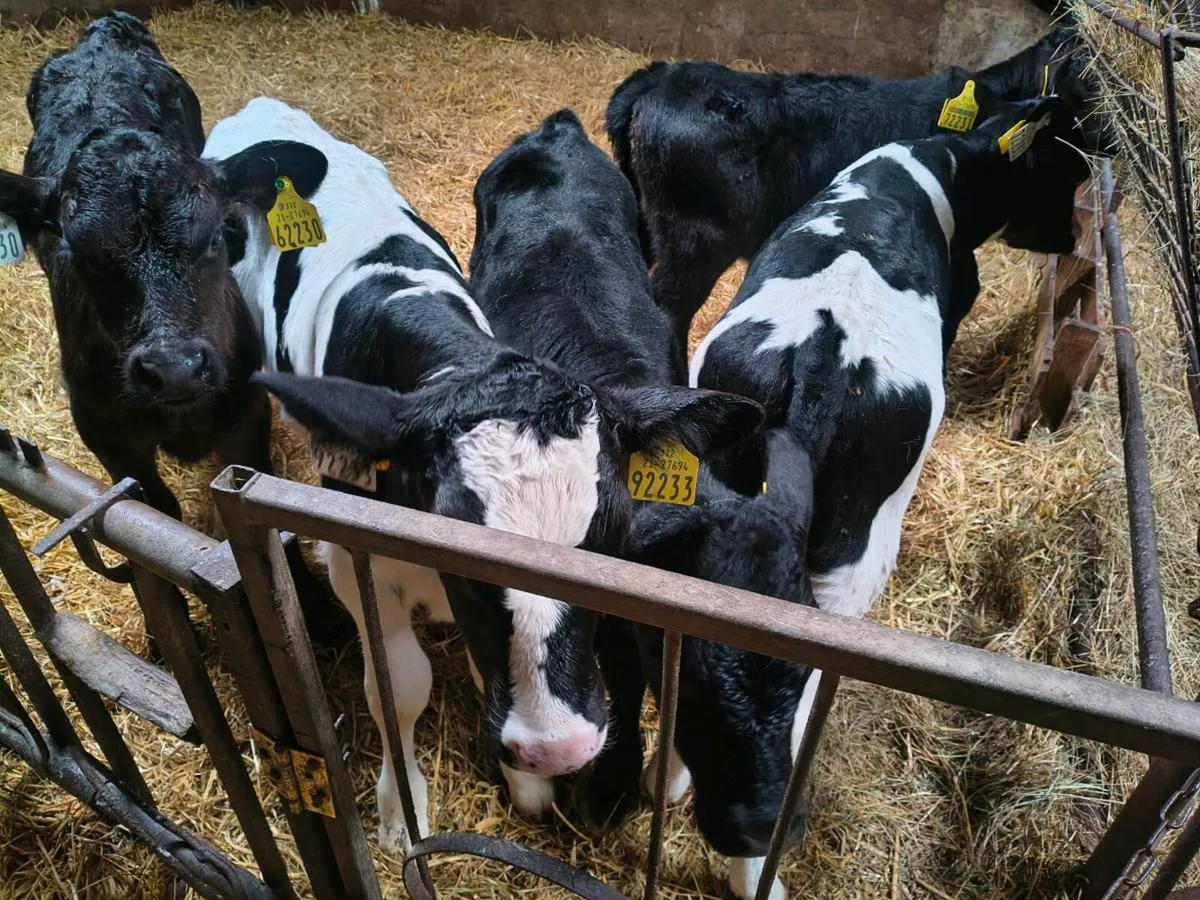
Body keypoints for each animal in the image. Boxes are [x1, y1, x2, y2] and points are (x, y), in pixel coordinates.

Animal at [203, 97, 764, 851]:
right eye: (461, 553)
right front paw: (400, 808)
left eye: (611, 545)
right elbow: (399, 686)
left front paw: (526, 783)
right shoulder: (355, 561)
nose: (557, 749)